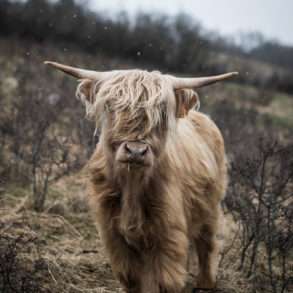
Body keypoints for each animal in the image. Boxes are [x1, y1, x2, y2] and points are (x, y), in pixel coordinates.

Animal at [45, 60, 237, 290]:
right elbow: (133, 278)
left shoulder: (169, 233)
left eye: (162, 112)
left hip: (211, 207)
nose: (136, 151)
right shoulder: (113, 234)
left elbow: (164, 282)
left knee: (207, 246)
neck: (132, 185)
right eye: (111, 106)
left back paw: (205, 284)